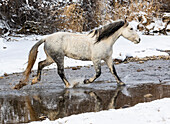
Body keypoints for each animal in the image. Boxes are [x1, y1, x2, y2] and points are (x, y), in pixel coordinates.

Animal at [13, 19, 141, 89]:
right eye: (131, 28)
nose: (139, 40)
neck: (102, 41)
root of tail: (46, 38)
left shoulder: (108, 58)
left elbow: (113, 71)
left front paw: (121, 83)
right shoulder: (96, 59)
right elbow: (98, 73)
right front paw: (86, 81)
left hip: (51, 58)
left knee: (40, 64)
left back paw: (35, 80)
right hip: (59, 58)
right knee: (60, 72)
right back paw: (69, 85)